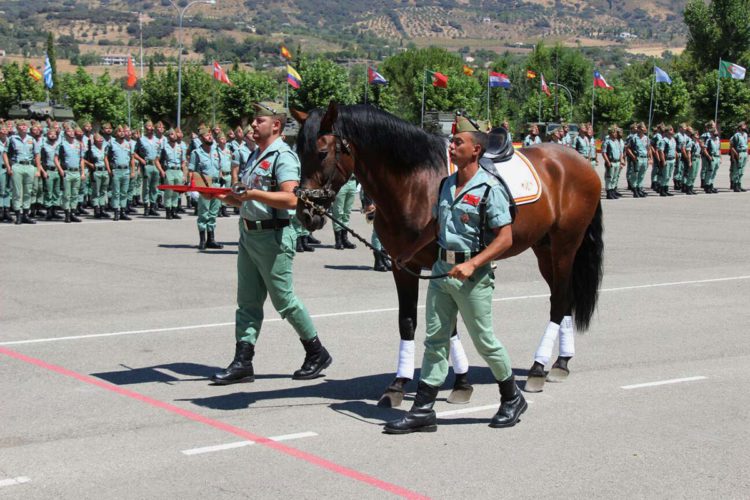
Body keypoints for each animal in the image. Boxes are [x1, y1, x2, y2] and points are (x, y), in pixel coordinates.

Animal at [294, 102, 604, 406]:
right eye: (297, 151)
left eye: (322, 152)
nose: (305, 213)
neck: (415, 184)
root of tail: (577, 160)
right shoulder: (402, 265)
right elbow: (408, 322)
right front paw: (399, 384)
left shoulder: (441, 267)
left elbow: (448, 326)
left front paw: (460, 383)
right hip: (544, 248)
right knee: (563, 298)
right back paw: (561, 361)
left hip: (565, 246)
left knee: (560, 299)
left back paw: (540, 368)